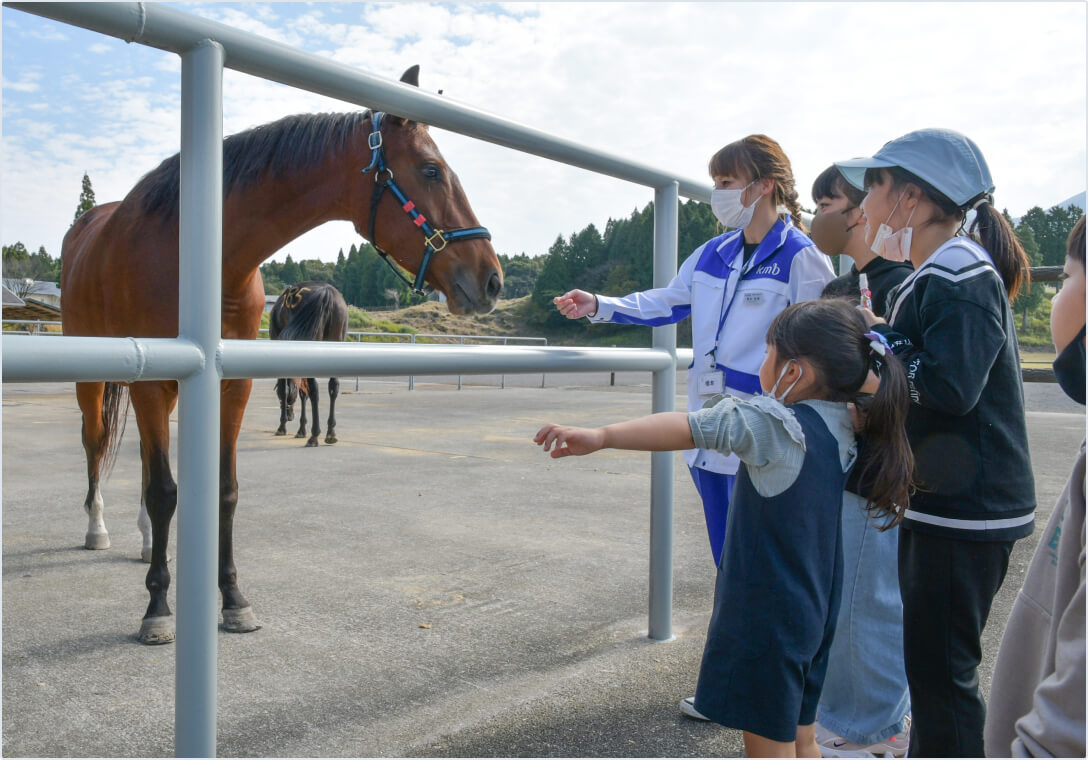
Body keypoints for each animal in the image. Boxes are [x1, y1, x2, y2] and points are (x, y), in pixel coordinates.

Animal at [269, 280, 345, 445]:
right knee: (333, 387)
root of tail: (326, 292)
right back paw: (330, 432)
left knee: (314, 390)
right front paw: (301, 429)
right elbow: (303, 392)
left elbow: (285, 390)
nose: (290, 415)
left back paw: (314, 435)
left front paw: (282, 426)